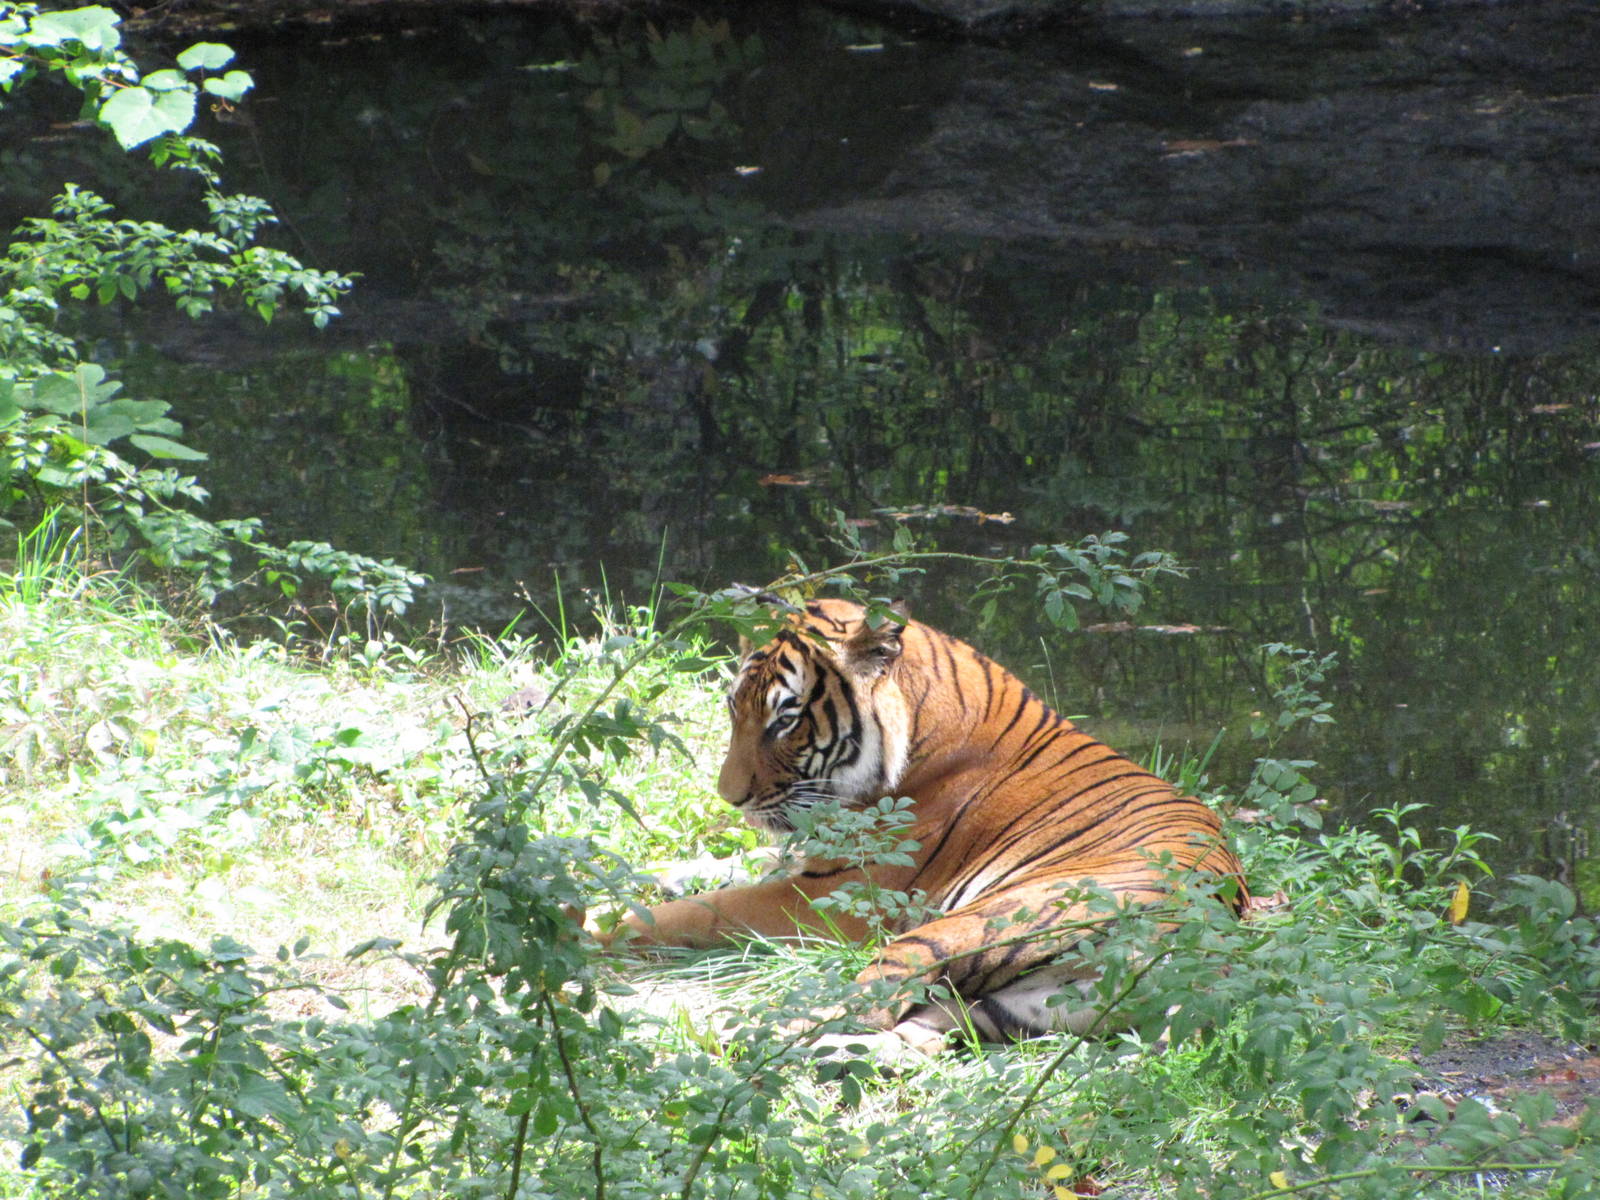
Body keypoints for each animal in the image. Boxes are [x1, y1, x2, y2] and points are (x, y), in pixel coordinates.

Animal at [609, 596, 1246, 1055]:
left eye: (785, 720)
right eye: (733, 709)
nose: (730, 798)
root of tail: (1208, 951)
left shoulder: (837, 893)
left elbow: (698, 910)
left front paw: (601, 924)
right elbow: (717, 866)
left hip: (975, 924)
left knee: (861, 1005)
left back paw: (738, 1035)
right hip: (1021, 1006)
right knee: (917, 1035)